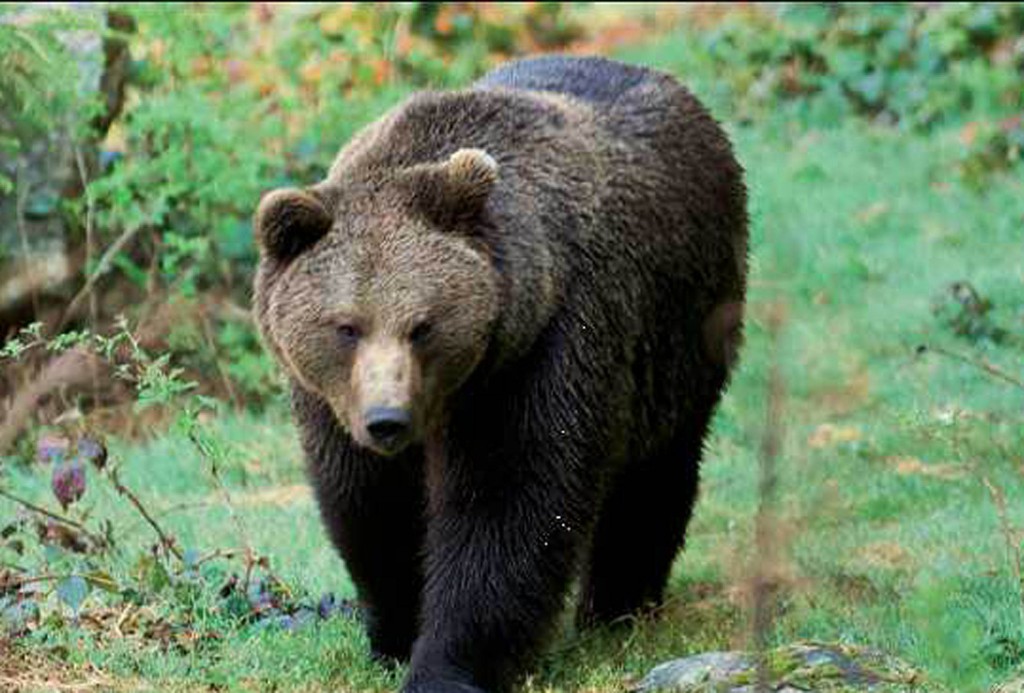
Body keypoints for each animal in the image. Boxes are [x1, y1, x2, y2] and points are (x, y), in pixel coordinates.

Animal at [252, 55, 747, 693]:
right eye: (347, 326)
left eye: (423, 325)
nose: (388, 420)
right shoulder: (331, 406)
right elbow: (372, 505)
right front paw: (394, 634)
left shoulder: (537, 356)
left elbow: (508, 506)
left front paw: (447, 665)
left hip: (682, 329)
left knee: (656, 471)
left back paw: (619, 609)